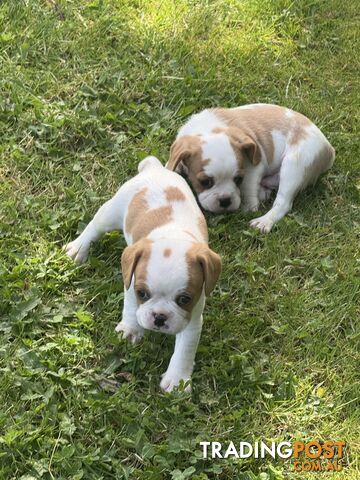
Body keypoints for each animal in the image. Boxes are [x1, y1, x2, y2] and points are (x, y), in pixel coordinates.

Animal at [63, 156, 221, 392]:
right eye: (142, 294)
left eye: (184, 299)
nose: (159, 317)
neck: (173, 235)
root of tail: (155, 168)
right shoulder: (131, 283)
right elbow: (130, 308)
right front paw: (130, 330)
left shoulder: (192, 318)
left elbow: (184, 351)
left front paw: (177, 380)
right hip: (112, 211)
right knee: (94, 227)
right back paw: (78, 248)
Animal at [168, 104, 334, 233]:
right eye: (205, 182)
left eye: (238, 179)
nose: (225, 200)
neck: (209, 130)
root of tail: (329, 149)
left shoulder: (254, 166)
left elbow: (248, 187)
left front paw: (249, 208)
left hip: (295, 165)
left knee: (283, 202)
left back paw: (264, 221)